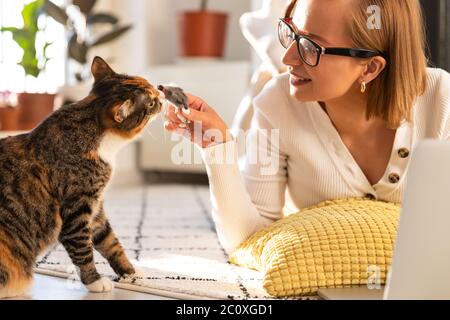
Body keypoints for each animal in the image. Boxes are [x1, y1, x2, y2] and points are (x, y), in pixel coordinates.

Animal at [0, 56, 164, 298]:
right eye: (151, 103)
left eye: (149, 83)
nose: (161, 92)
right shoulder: (76, 209)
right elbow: (83, 249)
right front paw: (95, 281)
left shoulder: (96, 208)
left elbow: (111, 243)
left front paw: (130, 272)